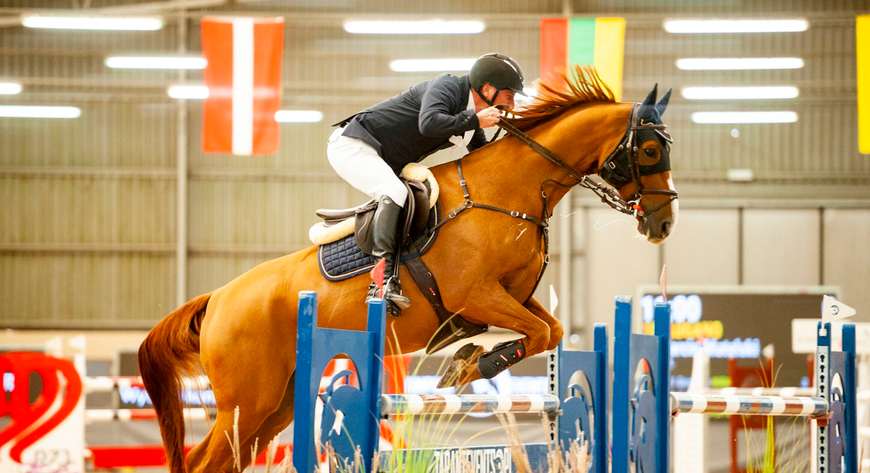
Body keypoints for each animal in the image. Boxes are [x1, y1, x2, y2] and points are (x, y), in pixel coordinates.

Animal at [138, 66, 680, 472]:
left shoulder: (514, 297)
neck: (511, 192)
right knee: (202, 458)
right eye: (650, 149)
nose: (663, 224)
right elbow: (537, 333)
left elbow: (551, 330)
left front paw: (468, 361)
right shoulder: (477, 296)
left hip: (276, 404)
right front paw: (471, 366)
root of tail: (217, 299)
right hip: (245, 401)